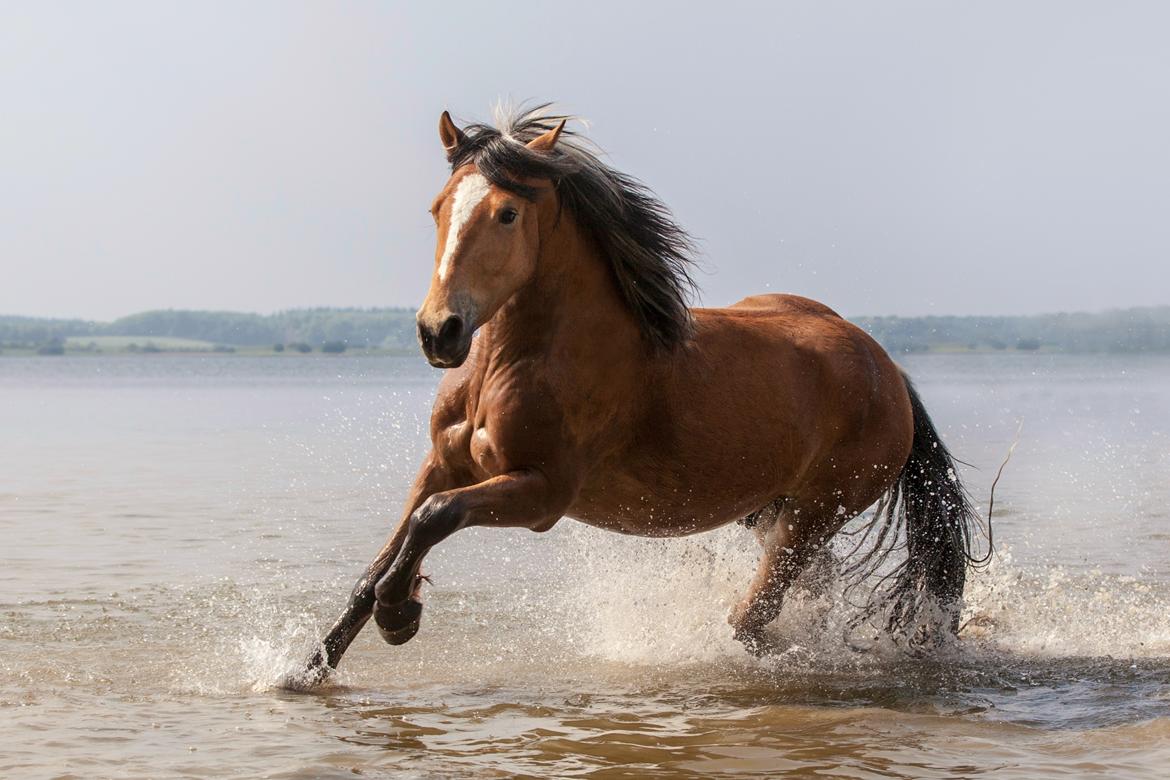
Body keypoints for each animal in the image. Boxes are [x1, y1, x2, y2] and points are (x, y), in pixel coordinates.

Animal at [285, 105, 987, 687]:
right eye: (437, 207)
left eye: (507, 213)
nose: (440, 331)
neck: (513, 365)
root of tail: (888, 369)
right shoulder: (443, 464)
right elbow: (384, 556)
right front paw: (307, 669)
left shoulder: (541, 492)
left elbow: (434, 521)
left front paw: (399, 614)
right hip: (775, 511)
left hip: (816, 513)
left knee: (751, 619)